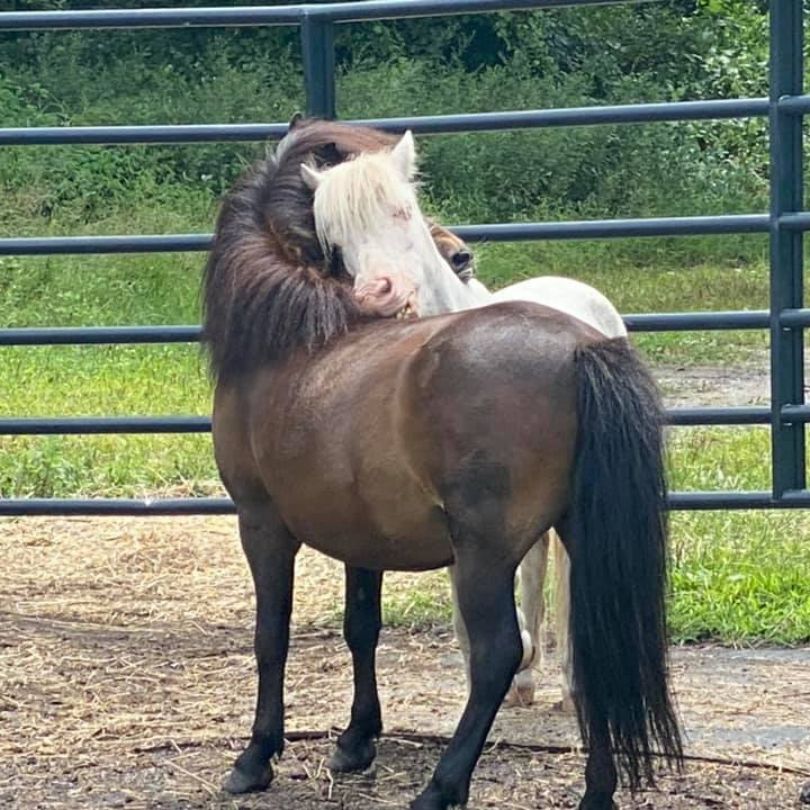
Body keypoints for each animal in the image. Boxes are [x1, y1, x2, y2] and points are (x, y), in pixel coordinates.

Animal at [205, 125, 682, 809]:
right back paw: (596, 792)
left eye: (404, 208)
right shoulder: (361, 537)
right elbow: (361, 626)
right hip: (576, 534)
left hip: (484, 552)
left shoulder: (262, 524)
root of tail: (582, 347)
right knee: (590, 647)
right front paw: (356, 742)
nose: (459, 257)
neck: (293, 337)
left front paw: (255, 757)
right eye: (334, 236)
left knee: (498, 654)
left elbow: (271, 636)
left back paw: (442, 786)